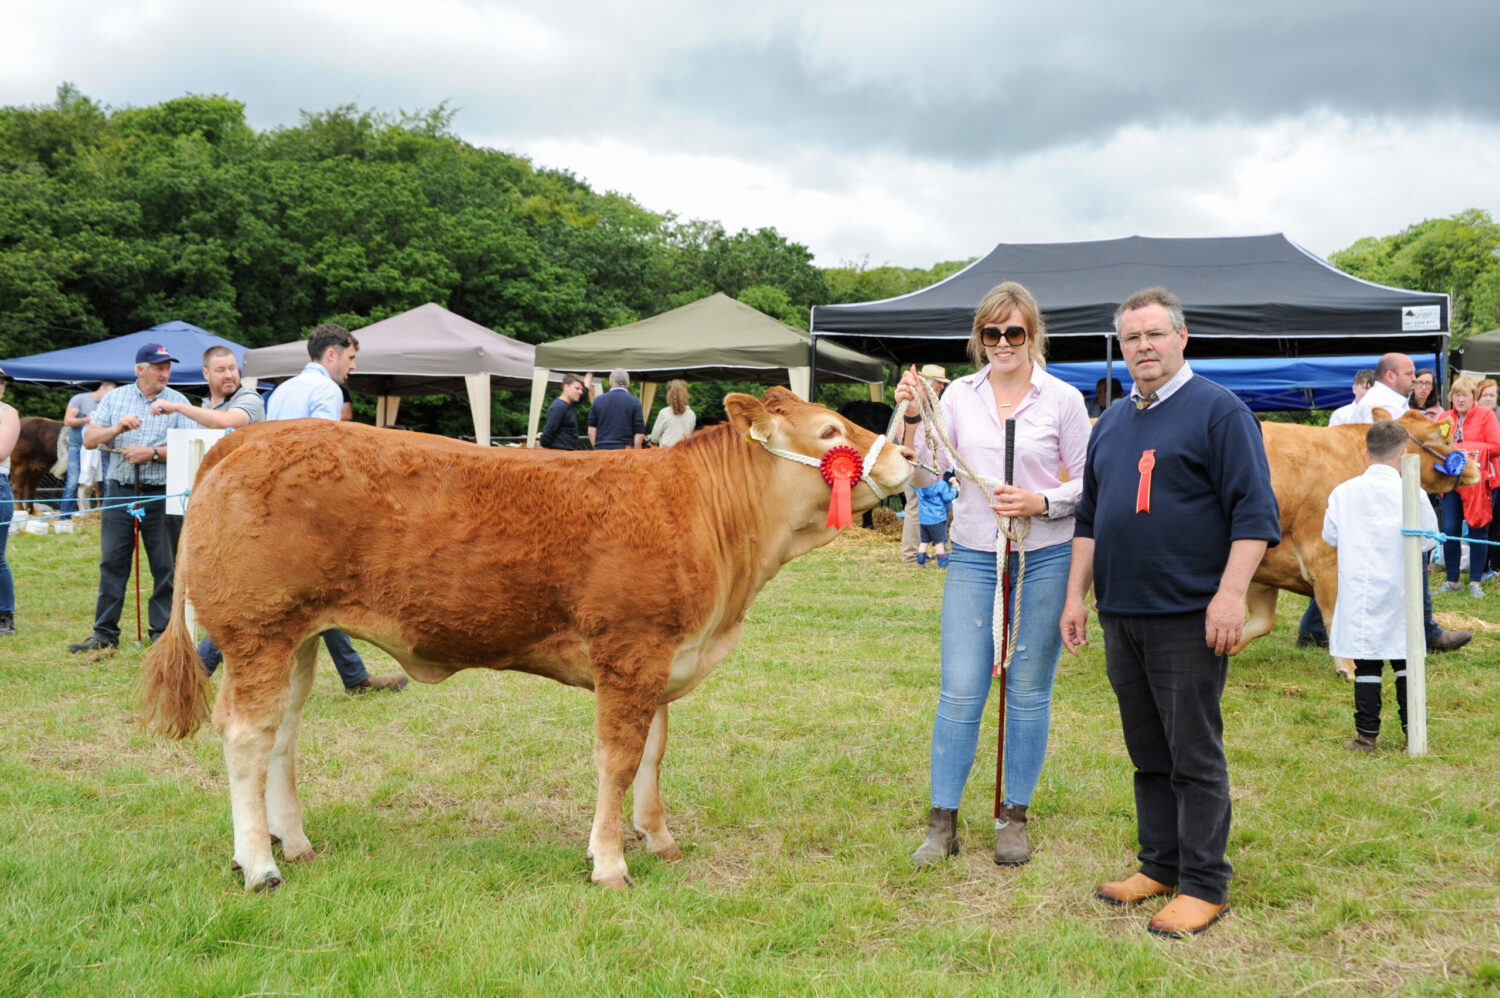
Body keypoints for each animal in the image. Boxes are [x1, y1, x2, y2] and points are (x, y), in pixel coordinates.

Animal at [141, 387, 912, 888]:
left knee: (282, 734)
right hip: (259, 630)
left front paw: (659, 838)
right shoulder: (629, 651)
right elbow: (618, 759)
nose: (906, 454)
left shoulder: (664, 657)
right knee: (246, 734)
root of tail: (249, 435)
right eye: (831, 433)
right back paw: (260, 864)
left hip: (298, 635)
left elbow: (654, 755)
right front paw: (610, 862)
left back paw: (294, 843)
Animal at [1230, 408, 1476, 672]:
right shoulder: (1326, 559)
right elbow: (1333, 613)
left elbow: (1262, 621)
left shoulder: (1266, 569)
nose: (1475, 465)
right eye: (1447, 441)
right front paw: (1348, 667)